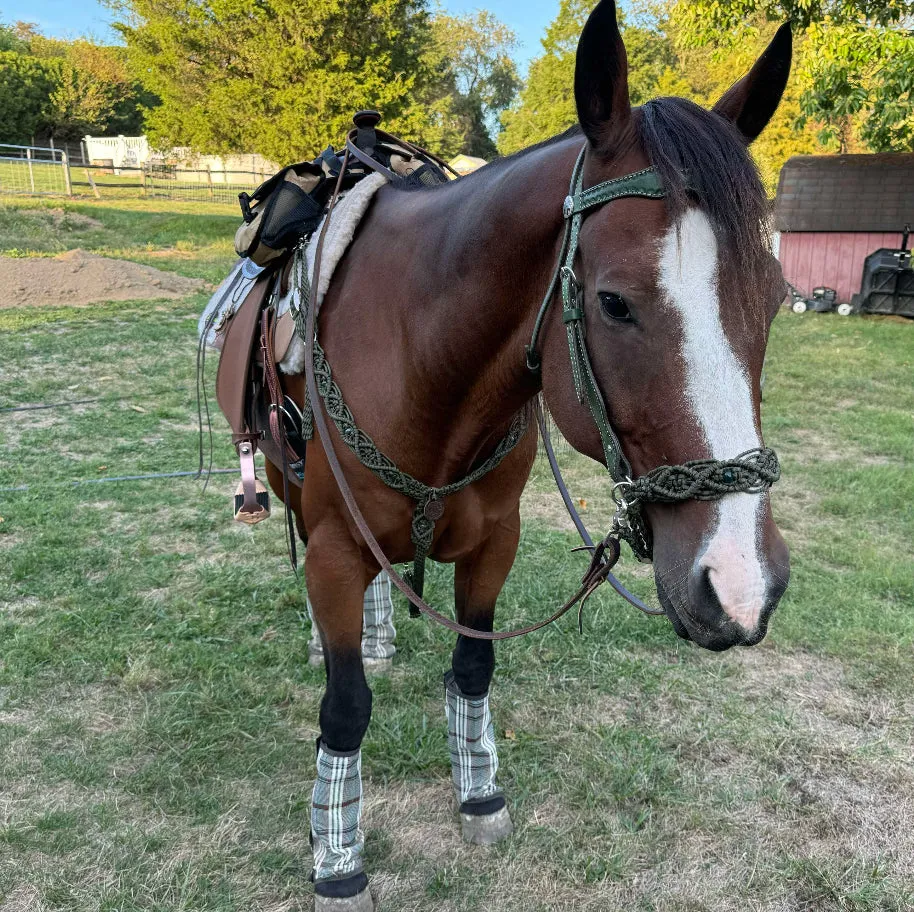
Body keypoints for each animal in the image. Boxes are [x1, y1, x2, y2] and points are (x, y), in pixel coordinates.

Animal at [262, 1, 792, 904]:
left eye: (778, 295)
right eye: (613, 303)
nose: (742, 585)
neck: (424, 361)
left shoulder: (493, 545)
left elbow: (472, 672)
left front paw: (478, 792)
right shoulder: (333, 549)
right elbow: (346, 705)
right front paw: (336, 855)